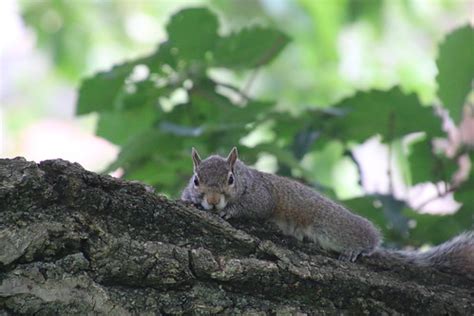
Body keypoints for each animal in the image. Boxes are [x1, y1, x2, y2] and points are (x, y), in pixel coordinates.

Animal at [181, 147, 474, 278]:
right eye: (196, 180)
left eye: (230, 179)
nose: (213, 201)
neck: (244, 177)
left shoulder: (262, 195)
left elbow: (255, 207)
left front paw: (229, 211)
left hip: (332, 226)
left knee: (368, 239)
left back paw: (356, 249)